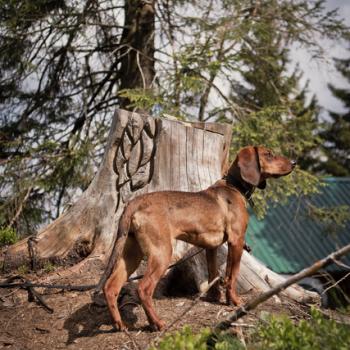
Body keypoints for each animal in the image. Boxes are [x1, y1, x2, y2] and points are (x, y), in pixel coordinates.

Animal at [102, 145, 296, 330]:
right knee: (143, 288)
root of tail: (134, 202)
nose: (294, 162)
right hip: (161, 253)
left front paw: (214, 297)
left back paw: (119, 324)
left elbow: (214, 274)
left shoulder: (211, 247)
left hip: (131, 253)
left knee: (110, 287)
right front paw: (234, 301)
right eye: (268, 154)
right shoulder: (237, 241)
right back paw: (156, 323)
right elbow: (232, 276)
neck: (233, 186)